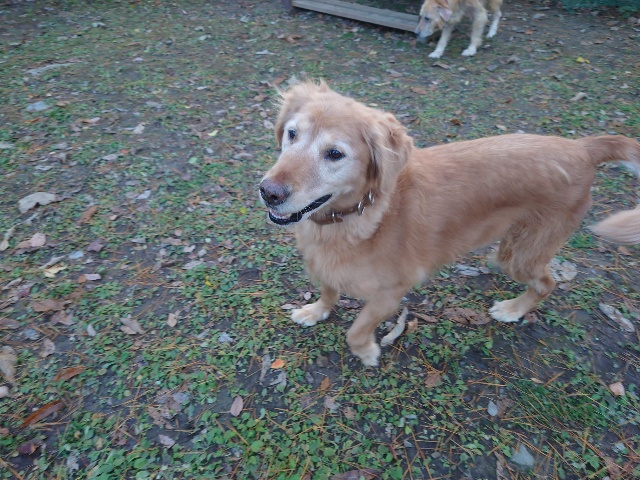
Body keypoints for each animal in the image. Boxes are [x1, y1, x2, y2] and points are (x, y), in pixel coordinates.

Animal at [259, 81, 640, 367]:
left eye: (335, 154)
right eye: (291, 134)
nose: (268, 192)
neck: (355, 217)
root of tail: (583, 148)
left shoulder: (391, 293)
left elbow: (356, 329)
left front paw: (366, 351)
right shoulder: (327, 266)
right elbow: (328, 290)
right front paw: (316, 311)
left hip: (523, 254)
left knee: (547, 284)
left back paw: (513, 309)